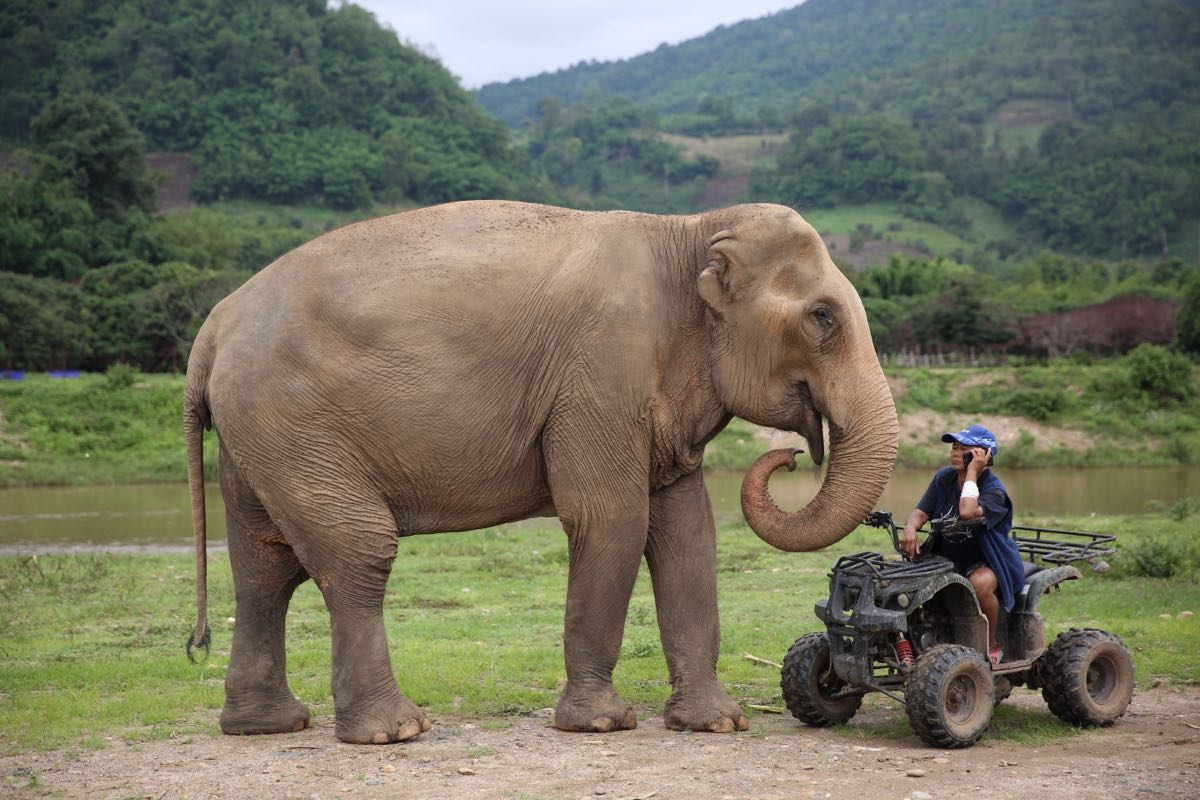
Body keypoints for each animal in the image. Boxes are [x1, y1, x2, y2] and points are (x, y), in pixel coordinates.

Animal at [184, 199, 902, 743]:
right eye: (822, 317)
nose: (789, 454)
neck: (687, 231)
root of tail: (213, 326)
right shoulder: (601, 372)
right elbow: (612, 519)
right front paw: (602, 725)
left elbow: (688, 532)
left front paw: (716, 725)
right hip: (294, 425)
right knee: (358, 550)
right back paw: (396, 731)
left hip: (257, 441)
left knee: (265, 567)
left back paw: (267, 726)